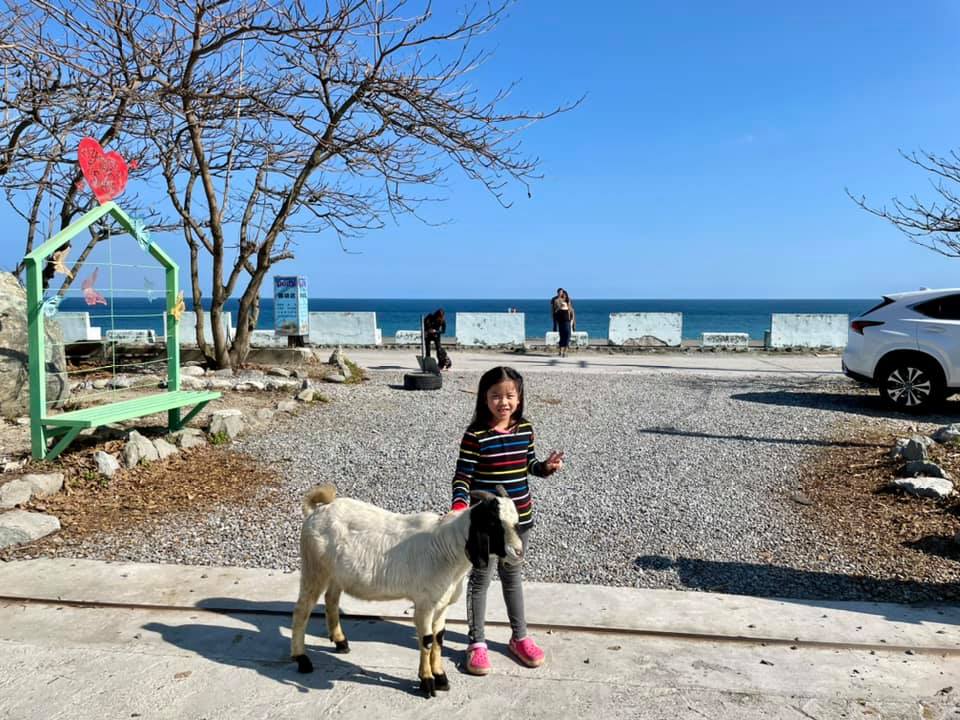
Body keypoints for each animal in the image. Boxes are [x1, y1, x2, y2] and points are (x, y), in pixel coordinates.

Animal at [288, 484, 520, 696]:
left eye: (516, 522)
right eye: (493, 523)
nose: (518, 551)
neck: (447, 547)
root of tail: (316, 511)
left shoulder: (441, 604)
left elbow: (439, 638)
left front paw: (441, 678)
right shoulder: (424, 603)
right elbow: (427, 640)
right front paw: (427, 682)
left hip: (335, 573)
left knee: (331, 599)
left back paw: (340, 642)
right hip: (314, 567)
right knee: (302, 610)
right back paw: (302, 660)